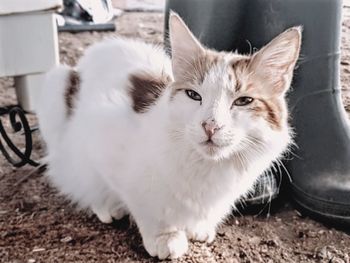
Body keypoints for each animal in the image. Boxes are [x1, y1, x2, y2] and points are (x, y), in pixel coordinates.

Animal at [37, 12, 302, 260]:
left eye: (244, 101)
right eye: (194, 95)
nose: (210, 126)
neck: (206, 167)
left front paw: (199, 226)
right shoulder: (100, 136)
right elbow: (142, 203)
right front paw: (164, 235)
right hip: (55, 85)